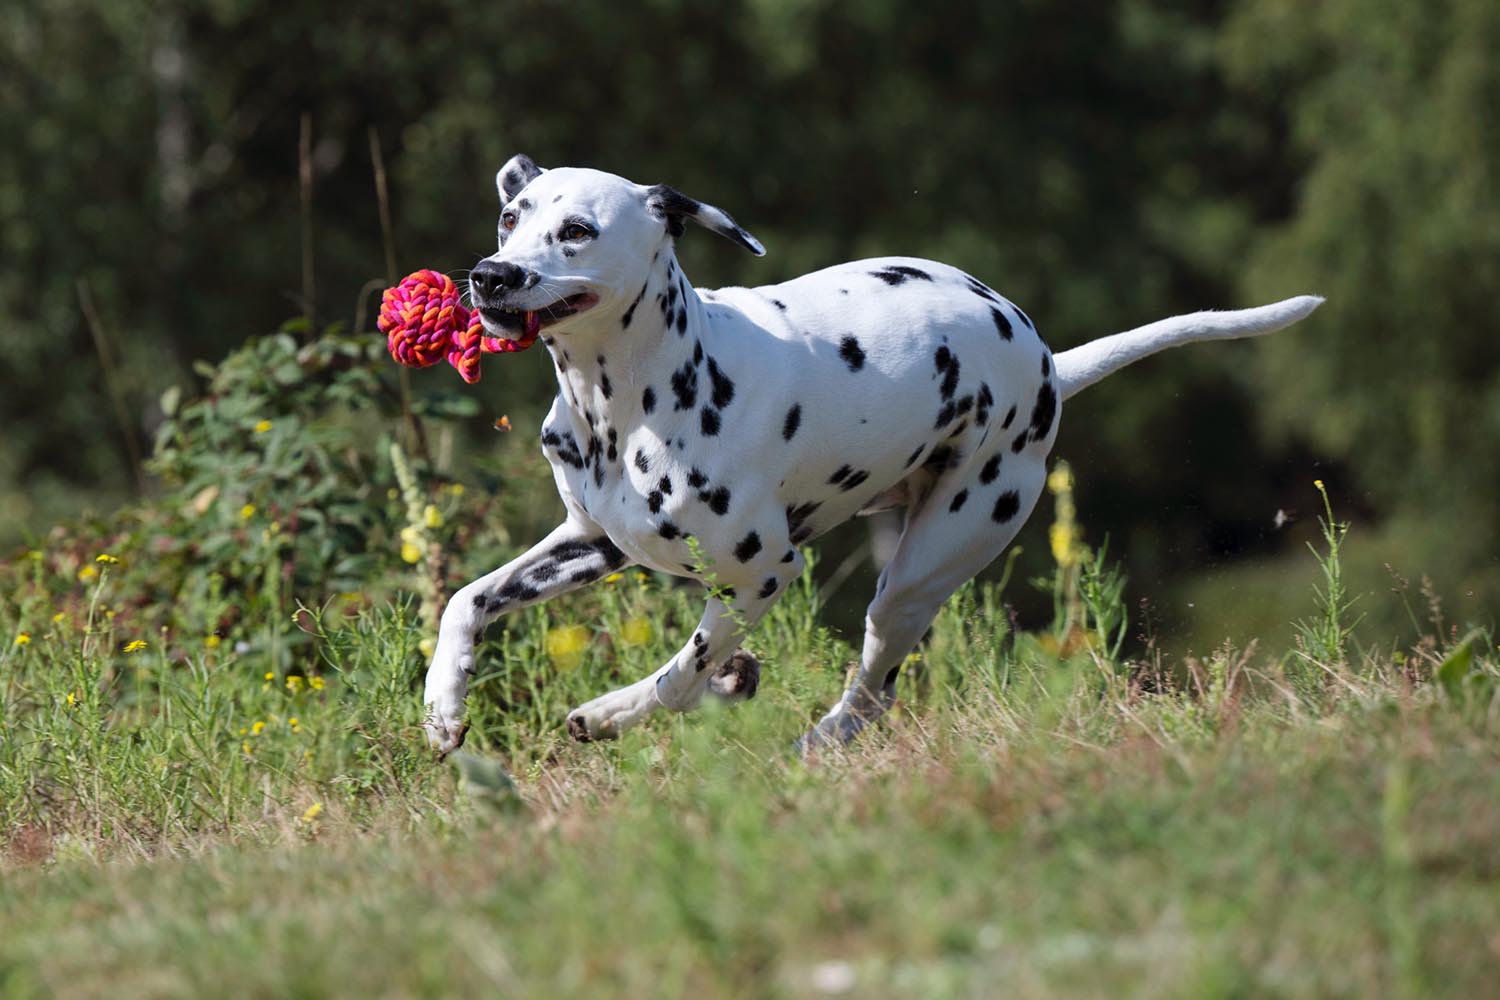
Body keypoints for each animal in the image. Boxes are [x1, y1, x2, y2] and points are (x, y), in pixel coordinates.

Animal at [417, 154, 1320, 749]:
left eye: (576, 230)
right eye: (512, 216)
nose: (491, 274)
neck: (627, 403)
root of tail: (1048, 364)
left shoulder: (765, 574)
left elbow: (679, 675)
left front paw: (611, 713)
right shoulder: (590, 545)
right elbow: (466, 599)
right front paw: (443, 705)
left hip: (914, 580)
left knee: (872, 692)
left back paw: (814, 743)